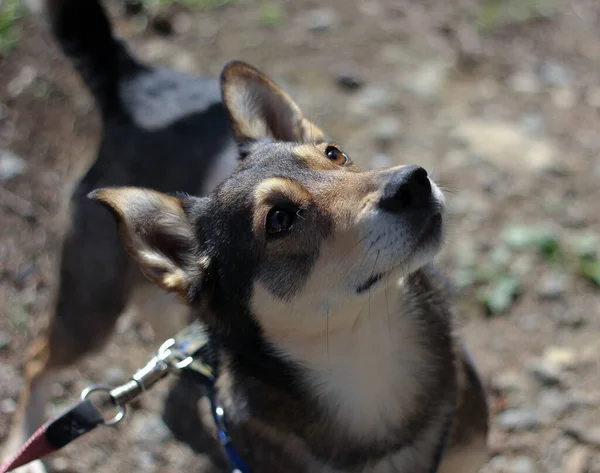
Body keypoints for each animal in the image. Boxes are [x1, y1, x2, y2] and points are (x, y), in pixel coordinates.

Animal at [3, 0, 488, 470]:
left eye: (335, 154)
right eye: (279, 219)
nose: (413, 182)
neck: (367, 354)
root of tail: (135, 84)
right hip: (92, 305)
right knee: (36, 359)